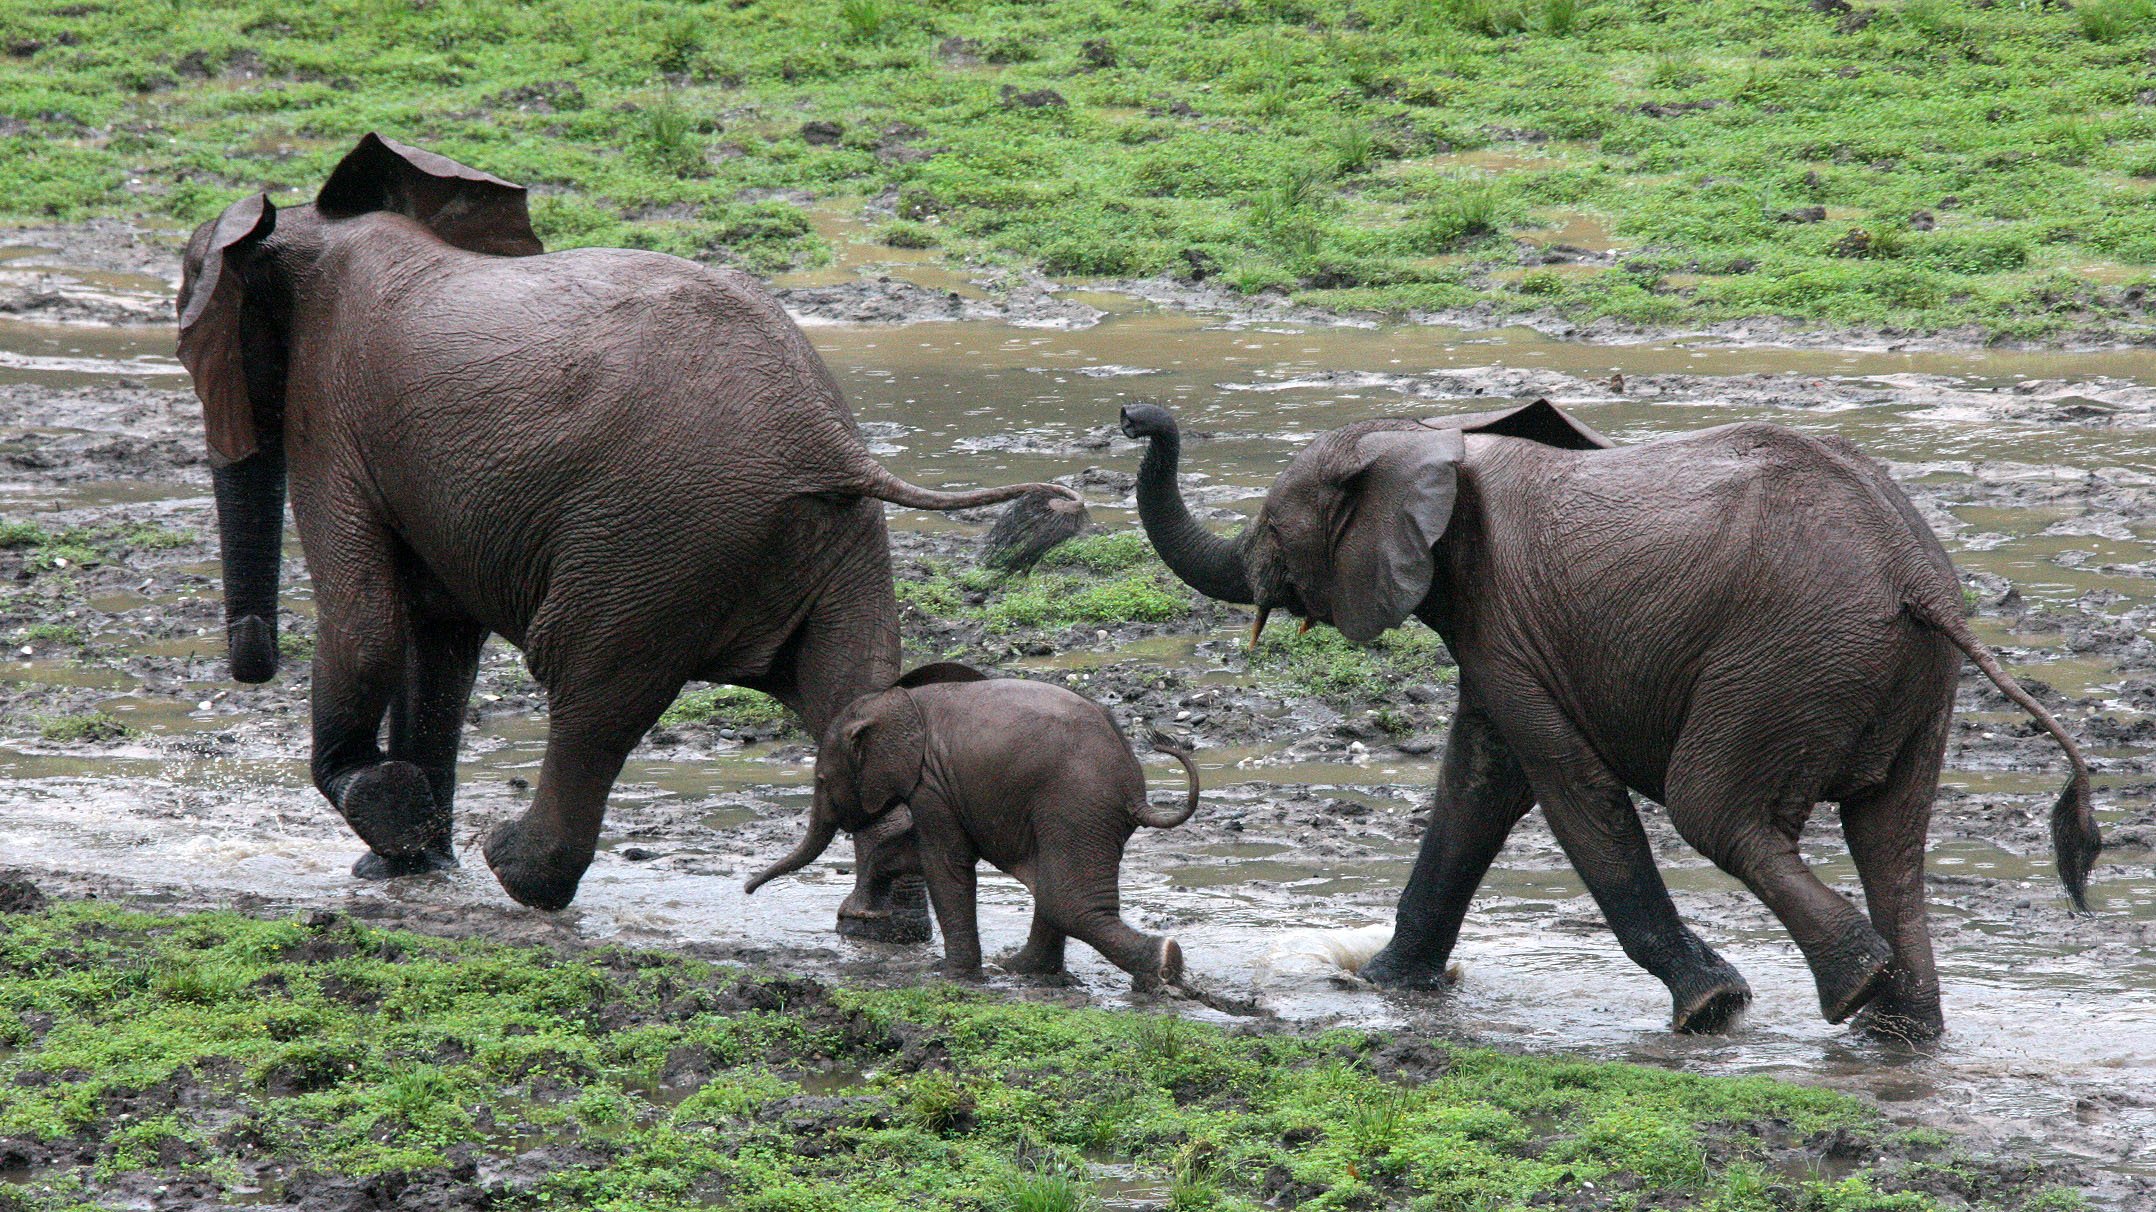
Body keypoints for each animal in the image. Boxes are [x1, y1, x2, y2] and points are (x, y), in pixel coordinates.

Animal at [174, 133, 1075, 918]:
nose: (251, 663)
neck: (313, 231)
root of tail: (827, 437)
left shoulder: (329, 414)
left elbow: (367, 621)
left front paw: (395, 828)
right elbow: (439, 642)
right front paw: (408, 863)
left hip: (656, 537)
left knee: (591, 697)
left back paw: (515, 870)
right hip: (830, 536)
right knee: (848, 689)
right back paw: (879, 922)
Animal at [744, 662, 1200, 989]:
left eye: (822, 780)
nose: (747, 890)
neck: (895, 704)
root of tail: (1136, 792)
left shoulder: (931, 782)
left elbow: (945, 862)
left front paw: (954, 978)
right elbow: (910, 850)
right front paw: (864, 914)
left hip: (1076, 805)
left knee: (1067, 902)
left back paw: (1164, 965)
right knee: (1054, 890)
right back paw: (1022, 970)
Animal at [1120, 398, 2101, 1040]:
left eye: (1270, 529)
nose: (1136, 417)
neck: (1440, 445)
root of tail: (1917, 579)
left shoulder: (1506, 622)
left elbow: (1566, 786)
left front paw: (1713, 1009)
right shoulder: (1495, 632)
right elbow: (1480, 783)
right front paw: (1385, 986)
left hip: (1783, 659)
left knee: (1715, 809)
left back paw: (1855, 990)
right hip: (1904, 678)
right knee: (1891, 839)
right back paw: (1900, 1030)